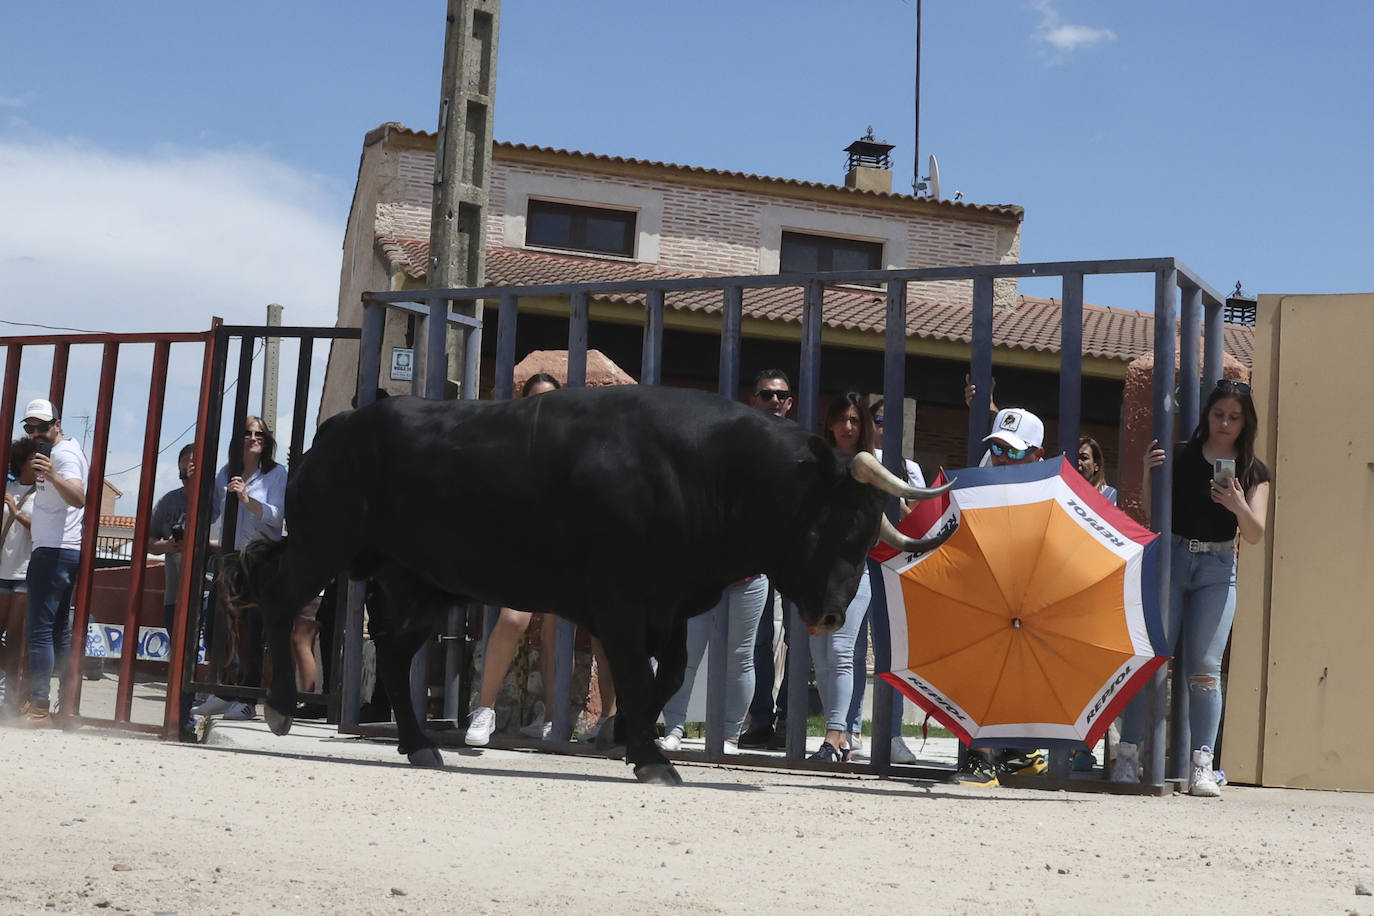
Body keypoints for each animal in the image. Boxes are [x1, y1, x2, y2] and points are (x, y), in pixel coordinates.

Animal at [228, 387, 956, 791]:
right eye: (842, 523)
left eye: (869, 535)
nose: (832, 615)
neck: (703, 471)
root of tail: (336, 429)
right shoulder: (621, 602)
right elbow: (635, 673)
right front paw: (648, 755)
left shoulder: (666, 603)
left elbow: (669, 673)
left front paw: (629, 737)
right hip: (327, 544)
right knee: (280, 592)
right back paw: (281, 708)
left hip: (418, 581)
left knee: (398, 651)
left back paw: (421, 745)